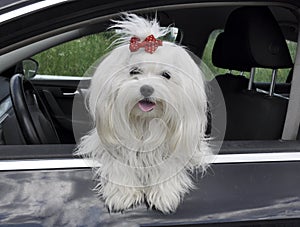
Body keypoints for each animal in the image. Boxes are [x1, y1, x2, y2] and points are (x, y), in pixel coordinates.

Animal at [74, 13, 211, 214]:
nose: (146, 88)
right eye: (134, 71)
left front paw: (164, 193)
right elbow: (118, 161)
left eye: (166, 75)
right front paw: (122, 193)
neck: (144, 122)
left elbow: (170, 162)